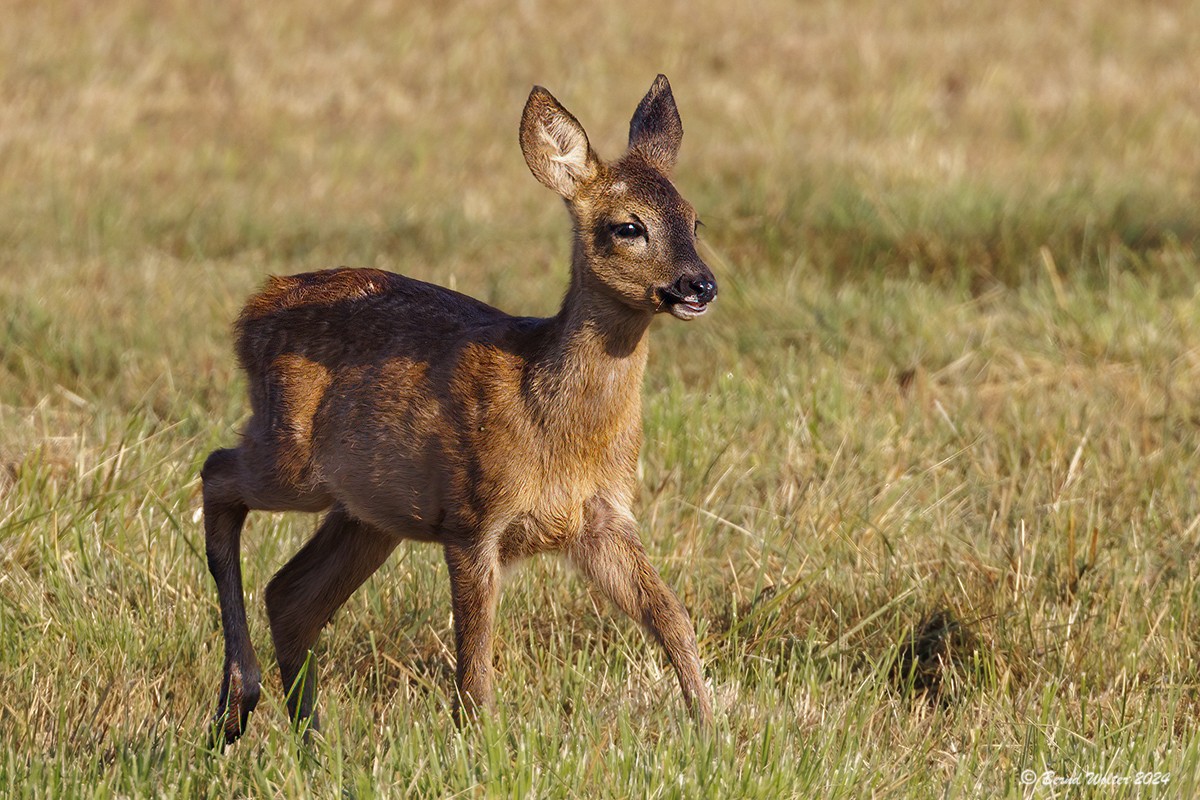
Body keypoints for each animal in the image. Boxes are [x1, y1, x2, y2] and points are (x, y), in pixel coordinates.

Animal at [200, 75, 717, 745]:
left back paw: (309, 739)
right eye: (627, 226)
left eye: (695, 220)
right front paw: (480, 748)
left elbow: (672, 617)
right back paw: (237, 701)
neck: (550, 419)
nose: (699, 284)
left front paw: (712, 729)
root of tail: (251, 311)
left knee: (290, 594)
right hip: (290, 454)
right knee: (217, 473)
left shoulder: (602, 517)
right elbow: (474, 671)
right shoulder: (473, 518)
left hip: (369, 509)